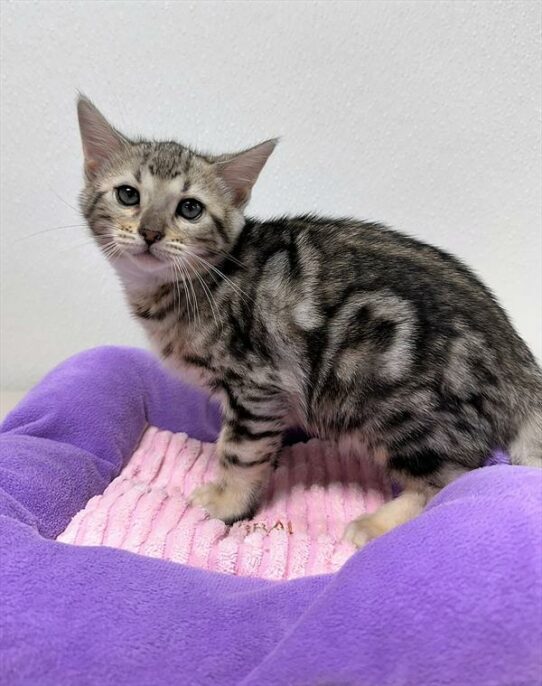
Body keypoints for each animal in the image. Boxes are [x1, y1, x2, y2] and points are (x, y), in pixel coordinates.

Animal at [76, 97, 542, 548]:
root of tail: (518, 361)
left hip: (397, 406)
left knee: (458, 476)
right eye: (128, 195)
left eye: (190, 209)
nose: (150, 232)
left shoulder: (257, 384)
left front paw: (226, 502)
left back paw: (377, 524)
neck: (188, 288)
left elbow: (239, 451)